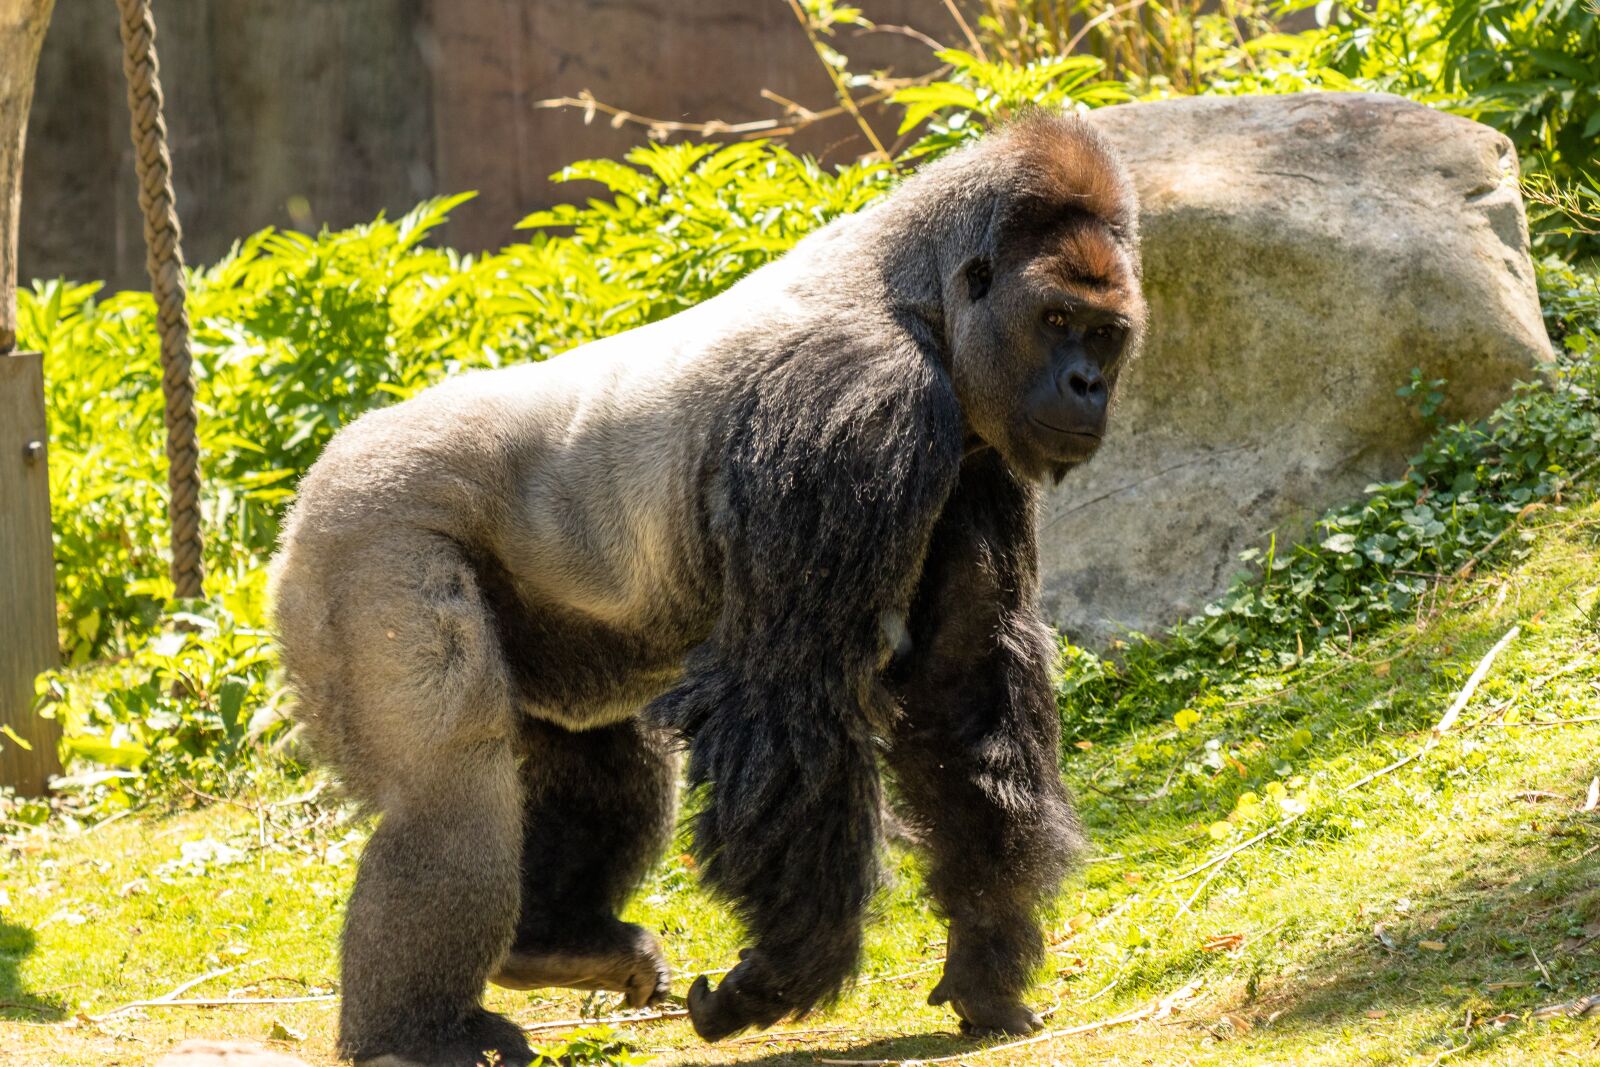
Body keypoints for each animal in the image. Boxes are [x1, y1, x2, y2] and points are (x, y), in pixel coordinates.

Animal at [268, 111, 1144, 1067]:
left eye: (1104, 335)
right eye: (1055, 319)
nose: (1086, 385)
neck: (920, 301)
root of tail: (317, 474)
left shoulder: (976, 453)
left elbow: (961, 681)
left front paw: (985, 953)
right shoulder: (859, 404)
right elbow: (787, 691)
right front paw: (791, 967)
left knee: (603, 750)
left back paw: (555, 940)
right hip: (364, 527)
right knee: (448, 789)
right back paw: (414, 1031)